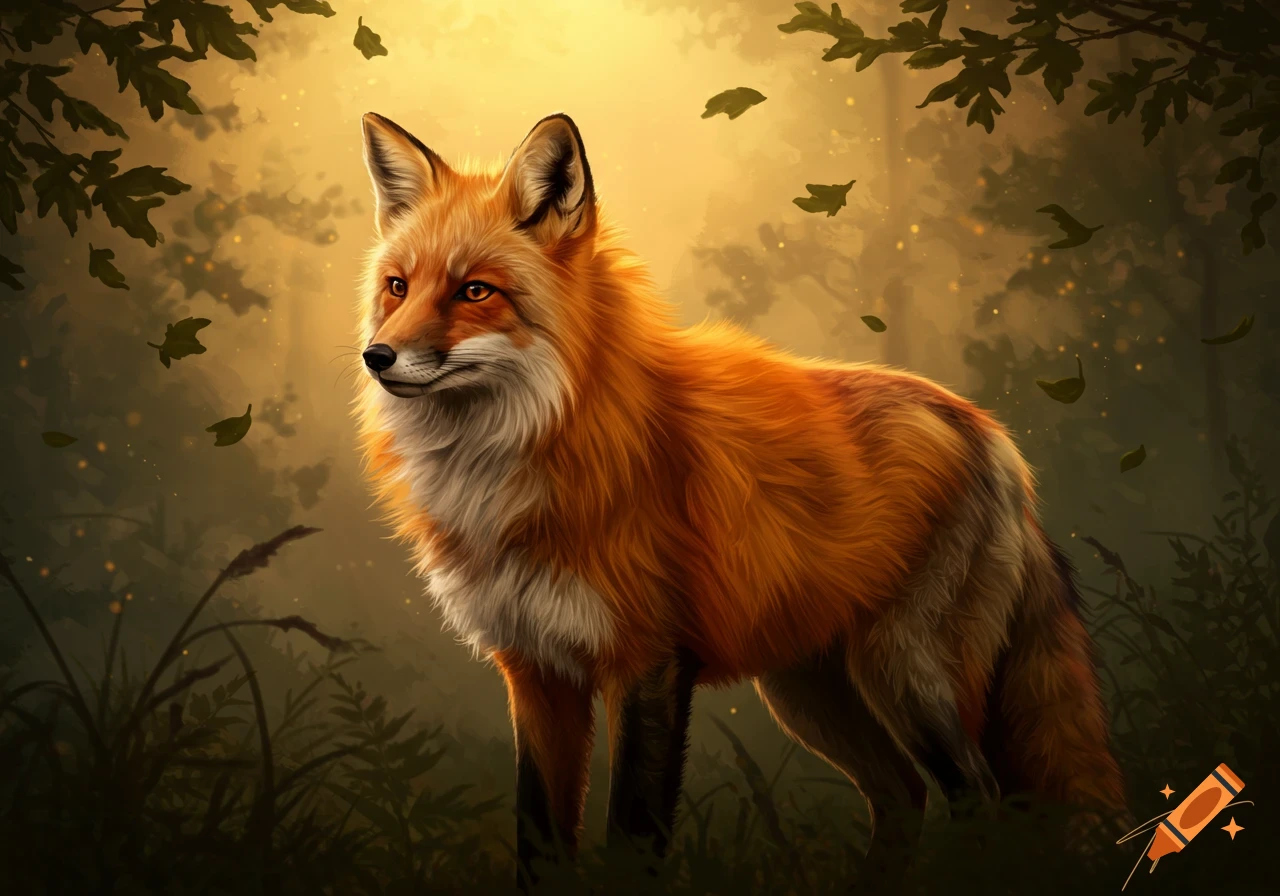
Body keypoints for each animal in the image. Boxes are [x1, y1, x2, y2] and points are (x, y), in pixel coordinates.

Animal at [353, 110, 1127, 890]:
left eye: (475, 292)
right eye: (397, 286)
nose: (377, 357)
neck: (526, 453)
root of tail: (987, 429)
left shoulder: (649, 663)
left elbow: (633, 838)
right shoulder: (537, 671)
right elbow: (538, 845)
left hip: (909, 675)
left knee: (981, 799)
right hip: (810, 691)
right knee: (903, 796)